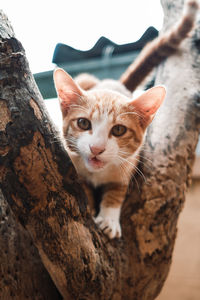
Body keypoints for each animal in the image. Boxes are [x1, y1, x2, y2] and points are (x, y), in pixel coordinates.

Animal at [53, 0, 198, 239]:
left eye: (119, 130)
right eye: (83, 123)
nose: (96, 149)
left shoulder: (128, 164)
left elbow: (117, 190)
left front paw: (109, 218)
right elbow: (83, 185)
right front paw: (90, 203)